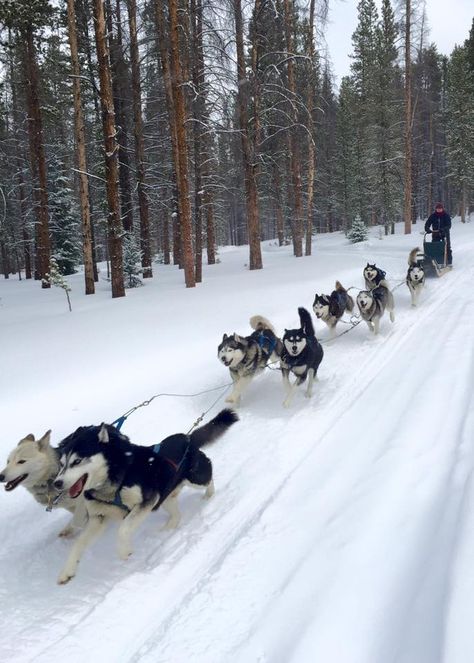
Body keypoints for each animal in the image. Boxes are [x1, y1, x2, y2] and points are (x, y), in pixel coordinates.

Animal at [54, 408, 239, 584]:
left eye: (77, 461)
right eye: (61, 464)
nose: (57, 483)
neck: (112, 480)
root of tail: (187, 438)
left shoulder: (146, 501)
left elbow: (123, 528)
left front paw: (124, 551)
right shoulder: (99, 518)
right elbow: (79, 544)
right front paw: (67, 571)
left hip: (196, 478)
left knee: (209, 475)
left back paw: (209, 496)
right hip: (165, 497)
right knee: (176, 514)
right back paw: (166, 529)